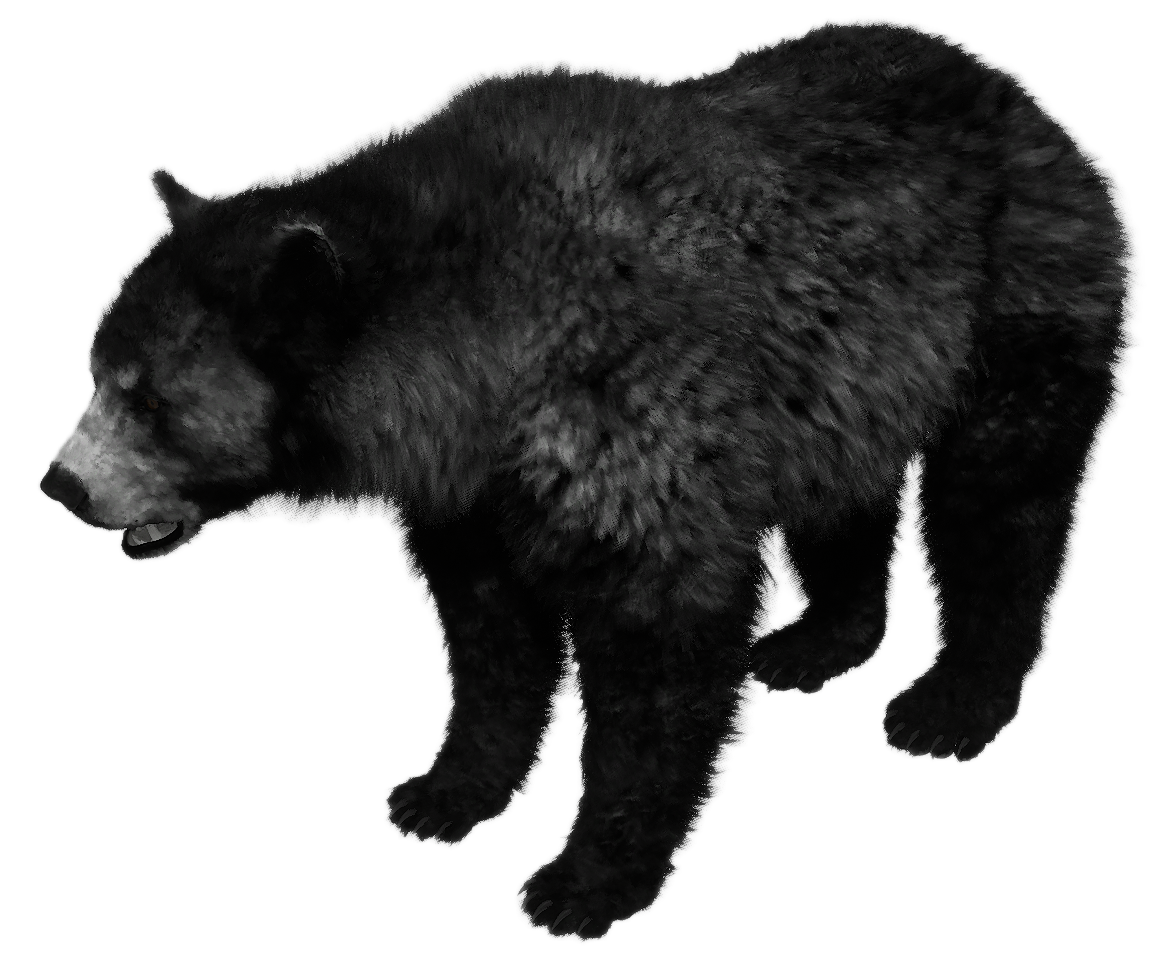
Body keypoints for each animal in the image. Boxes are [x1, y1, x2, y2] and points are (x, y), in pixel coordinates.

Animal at [36, 14, 1143, 944]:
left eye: (147, 399)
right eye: (95, 368)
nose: (63, 485)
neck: (476, 364)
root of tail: (1022, 96)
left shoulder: (624, 405)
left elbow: (659, 644)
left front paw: (582, 879)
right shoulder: (470, 487)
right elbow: (487, 635)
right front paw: (443, 790)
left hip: (1017, 293)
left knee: (999, 497)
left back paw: (953, 702)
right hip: (849, 367)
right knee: (844, 484)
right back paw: (819, 639)